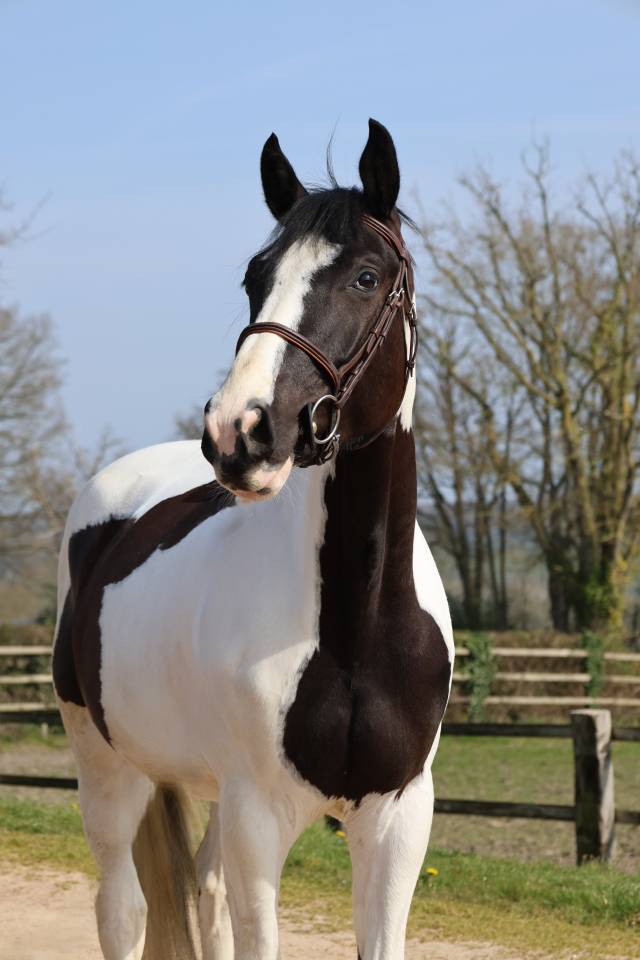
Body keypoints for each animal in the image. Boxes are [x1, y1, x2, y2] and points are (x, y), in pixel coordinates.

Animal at [52, 118, 453, 960]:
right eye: (254, 277)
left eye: (366, 276)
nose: (240, 432)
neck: (355, 628)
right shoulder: (257, 819)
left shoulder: (398, 824)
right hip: (108, 770)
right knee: (123, 910)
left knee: (199, 891)